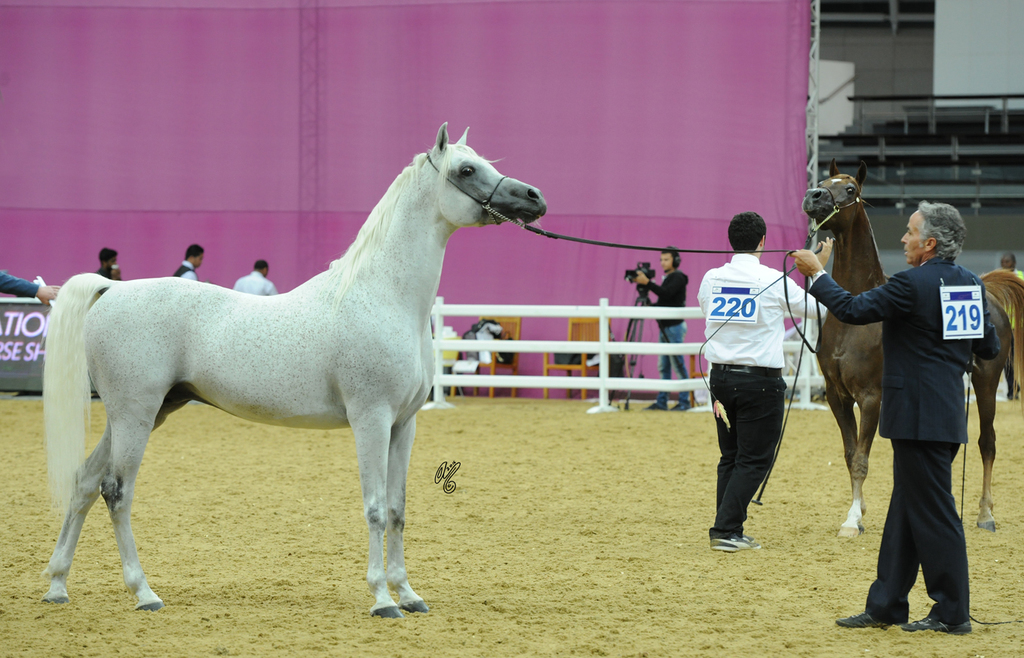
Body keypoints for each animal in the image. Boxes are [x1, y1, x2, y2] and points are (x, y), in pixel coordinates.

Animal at [39, 123, 546, 616]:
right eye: (466, 169)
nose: (534, 197)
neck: (385, 296)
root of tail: (111, 288)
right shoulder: (371, 420)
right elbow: (375, 508)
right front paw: (382, 599)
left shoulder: (404, 424)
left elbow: (398, 510)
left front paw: (408, 593)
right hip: (135, 415)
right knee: (116, 492)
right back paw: (144, 592)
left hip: (142, 413)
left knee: (84, 482)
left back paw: (58, 585)